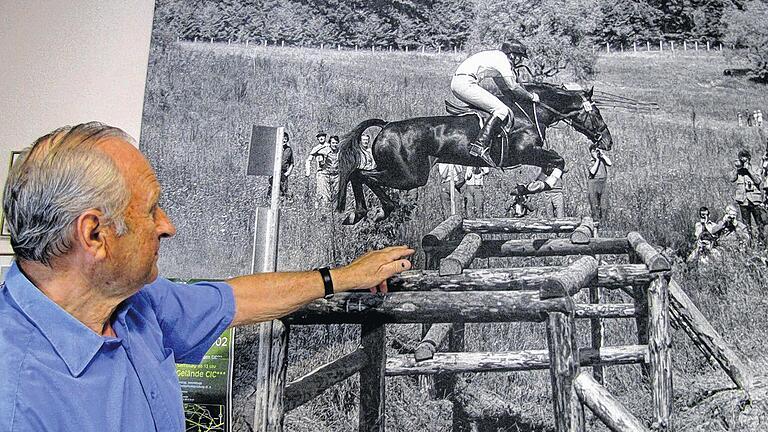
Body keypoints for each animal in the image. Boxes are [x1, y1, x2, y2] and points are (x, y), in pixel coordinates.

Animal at [334, 85, 612, 226]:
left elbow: (552, 165)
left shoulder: (532, 155)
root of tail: (386, 126)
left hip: (404, 174)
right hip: (409, 176)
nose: (607, 141)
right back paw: (377, 211)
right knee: (362, 175)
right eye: (597, 113)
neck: (532, 112)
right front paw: (534, 187)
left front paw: (524, 191)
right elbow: (558, 161)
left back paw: (360, 213)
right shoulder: (527, 153)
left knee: (359, 174)